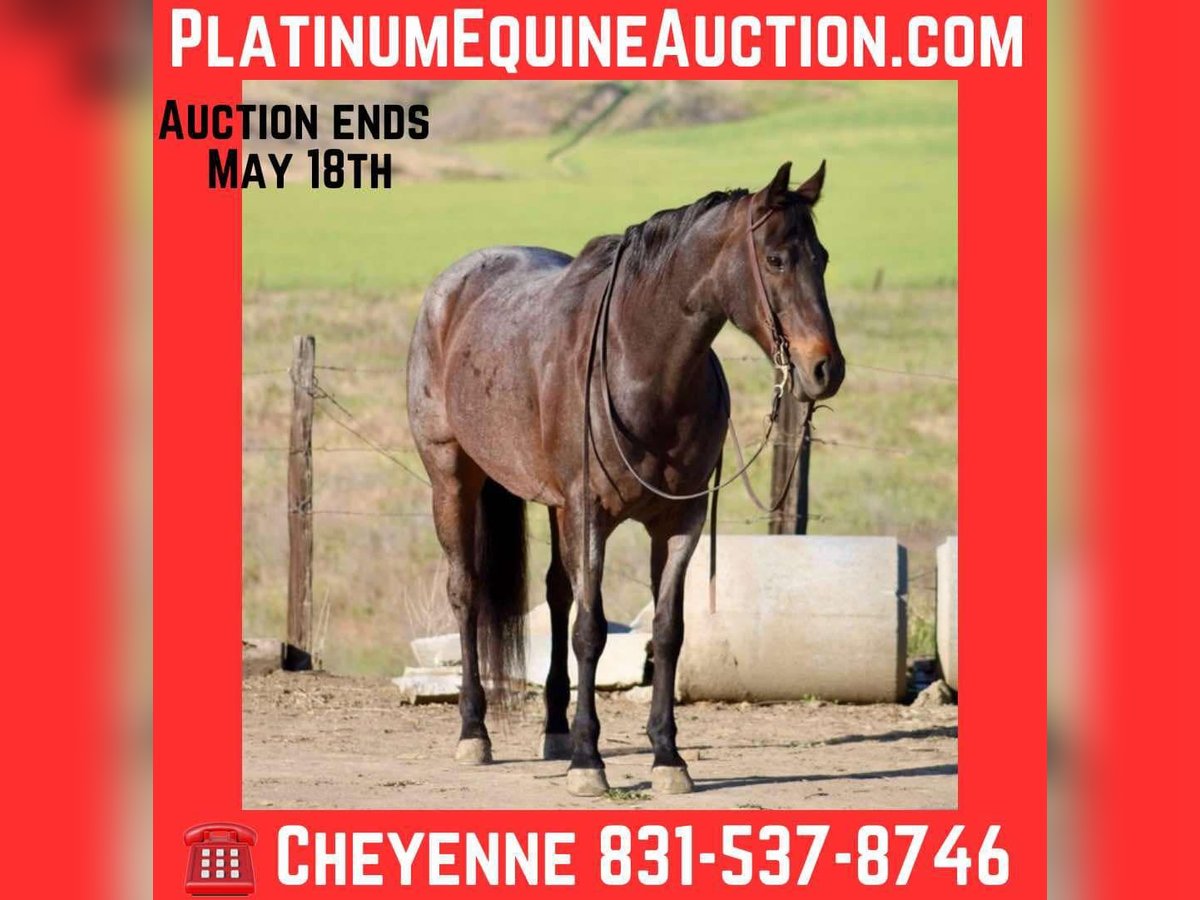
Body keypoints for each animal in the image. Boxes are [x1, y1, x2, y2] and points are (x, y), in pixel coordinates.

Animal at [406, 161, 844, 797]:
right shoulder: (590, 514)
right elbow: (590, 630)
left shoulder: (679, 521)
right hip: (452, 478)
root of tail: (451, 288)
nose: (825, 368)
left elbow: (666, 632)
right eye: (776, 258)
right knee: (467, 592)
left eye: (823, 257)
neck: (642, 366)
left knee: (556, 595)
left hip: (552, 505)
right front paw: (589, 761)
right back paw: (475, 732)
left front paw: (667, 756)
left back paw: (556, 730)